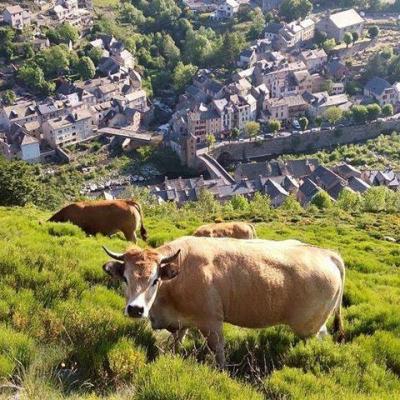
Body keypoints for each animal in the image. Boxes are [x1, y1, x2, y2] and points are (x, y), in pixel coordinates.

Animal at [102, 236, 344, 368]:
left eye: (155, 280)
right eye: (125, 278)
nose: (135, 309)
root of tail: (326, 254)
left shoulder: (211, 322)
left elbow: (218, 353)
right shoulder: (181, 321)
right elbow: (177, 342)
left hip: (309, 326)